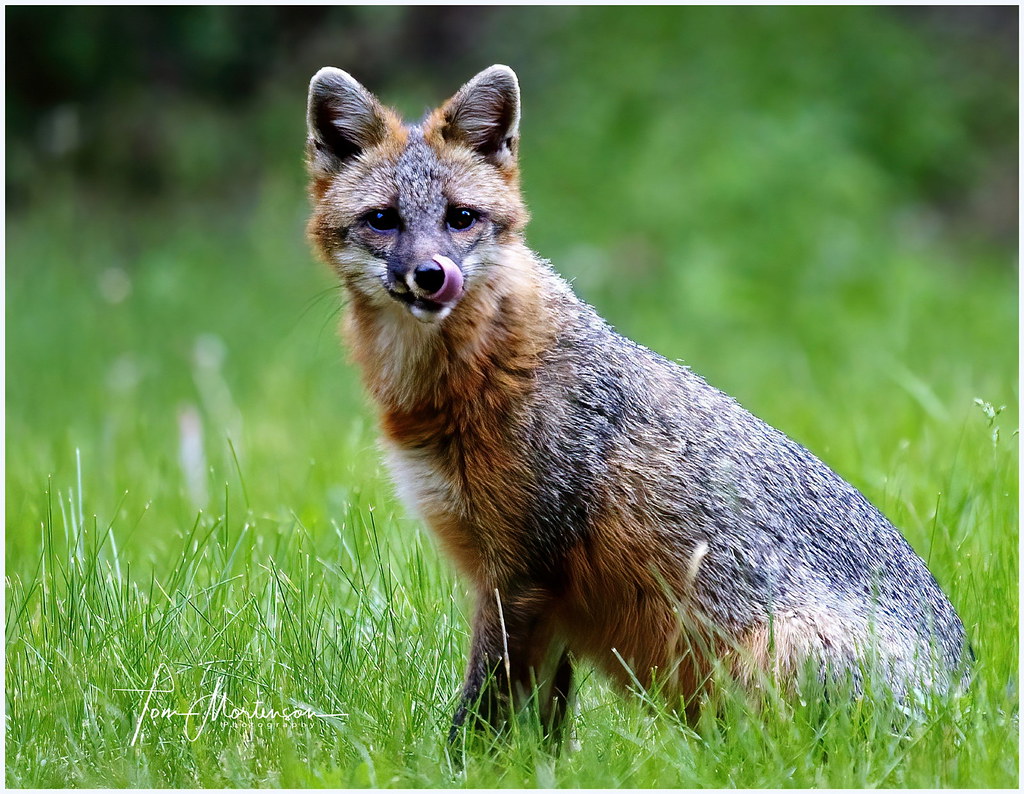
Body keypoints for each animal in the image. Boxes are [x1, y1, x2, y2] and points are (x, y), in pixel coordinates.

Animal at [304, 64, 970, 740]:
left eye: (460, 218)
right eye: (384, 220)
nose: (431, 275)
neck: (475, 376)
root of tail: (963, 701)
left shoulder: (520, 574)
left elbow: (480, 711)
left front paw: (452, 761)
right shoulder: (540, 594)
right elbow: (542, 726)